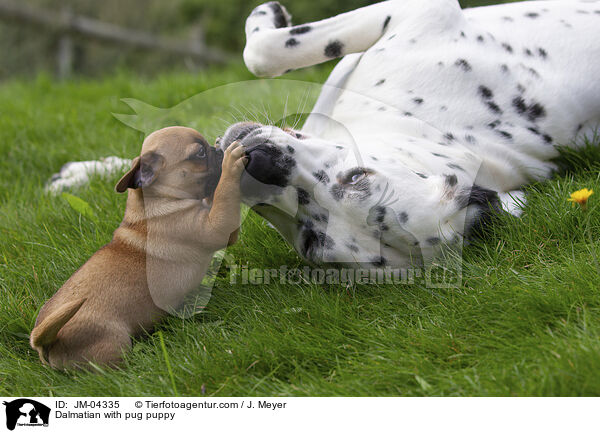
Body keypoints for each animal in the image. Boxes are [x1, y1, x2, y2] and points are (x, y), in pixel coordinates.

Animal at [29, 125, 246, 368]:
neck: (154, 200)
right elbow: (224, 193)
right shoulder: (216, 226)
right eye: (199, 153)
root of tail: (45, 341)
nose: (217, 148)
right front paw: (231, 162)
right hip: (115, 342)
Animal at [217, 0, 600, 268]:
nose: (257, 164)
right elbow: (264, 55)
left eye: (310, 242)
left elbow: (262, 52)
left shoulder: (423, 10)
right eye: (358, 176)